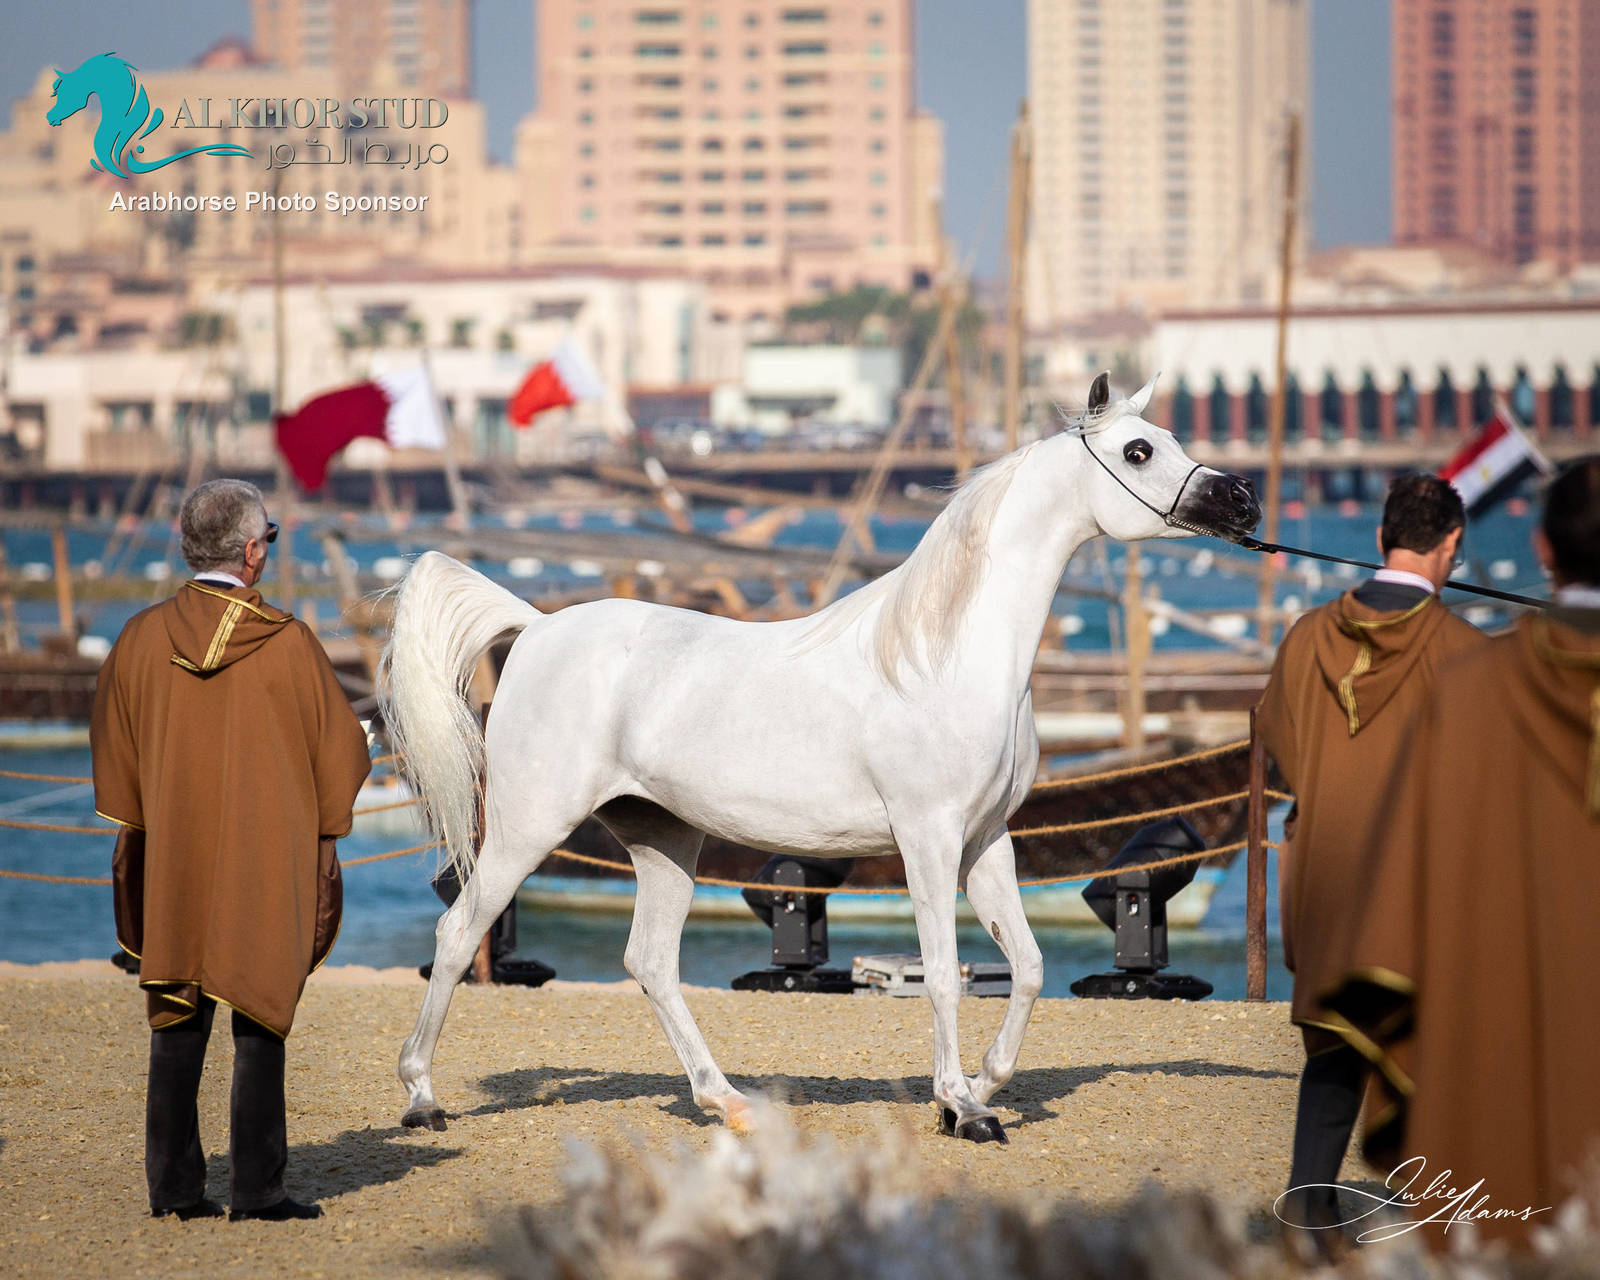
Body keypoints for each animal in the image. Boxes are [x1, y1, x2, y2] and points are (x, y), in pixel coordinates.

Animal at [379, 372, 1261, 1144]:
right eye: (1140, 450)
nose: (1241, 500)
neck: (944, 655)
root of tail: (534, 627)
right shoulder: (928, 839)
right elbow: (944, 971)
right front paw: (961, 1108)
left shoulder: (987, 841)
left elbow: (1032, 965)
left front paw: (982, 1085)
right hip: (529, 827)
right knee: (458, 932)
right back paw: (421, 1099)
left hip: (663, 839)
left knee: (651, 961)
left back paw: (728, 1102)